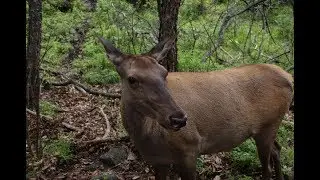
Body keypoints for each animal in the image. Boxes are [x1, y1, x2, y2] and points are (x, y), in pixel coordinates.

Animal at [98, 37, 296, 180]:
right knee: (277, 150)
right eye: (132, 79)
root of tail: (288, 77)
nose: (179, 118)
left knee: (267, 167)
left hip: (268, 124)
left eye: (164, 73)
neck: (147, 138)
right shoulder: (158, 160)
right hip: (269, 127)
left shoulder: (190, 148)